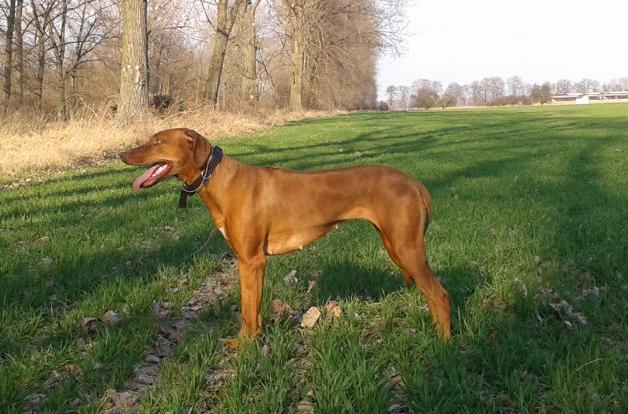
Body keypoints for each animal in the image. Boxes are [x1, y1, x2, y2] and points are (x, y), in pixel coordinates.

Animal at [120, 128, 451, 342]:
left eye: (158, 141)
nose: (122, 154)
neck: (221, 181)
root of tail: (413, 182)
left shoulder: (252, 260)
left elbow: (248, 309)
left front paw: (246, 348)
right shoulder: (245, 261)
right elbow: (250, 308)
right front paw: (247, 341)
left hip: (406, 248)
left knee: (440, 295)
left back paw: (444, 344)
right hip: (395, 246)